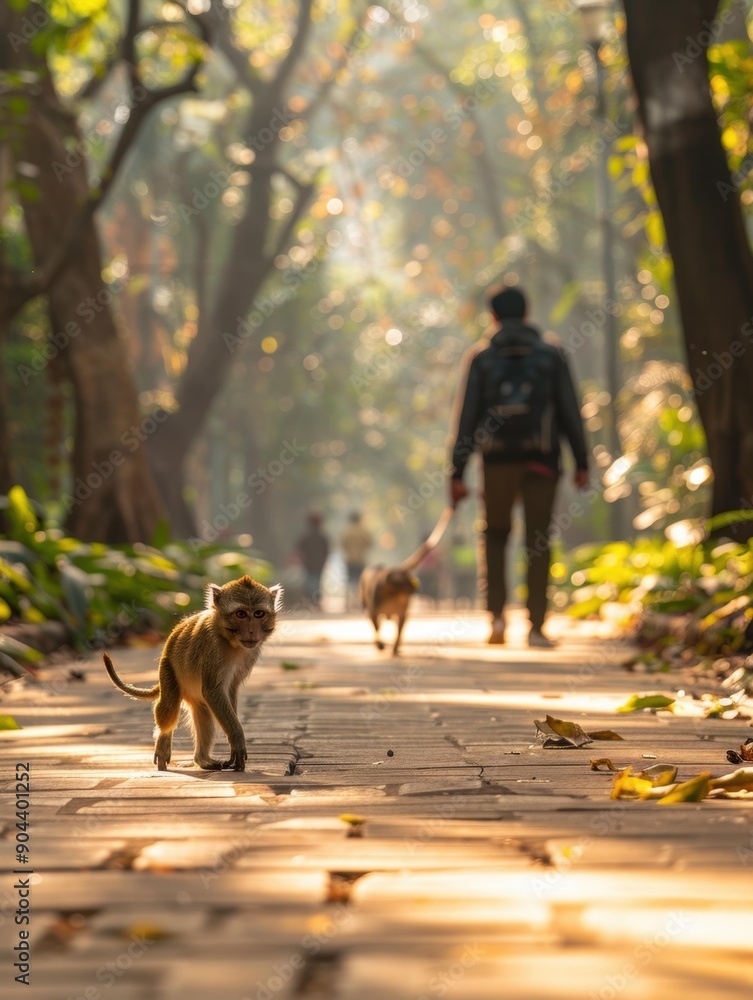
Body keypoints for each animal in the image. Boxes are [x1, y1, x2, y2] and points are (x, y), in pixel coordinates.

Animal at [103, 576, 282, 768]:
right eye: (240, 614)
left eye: (258, 614)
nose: (251, 631)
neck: (228, 640)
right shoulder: (213, 647)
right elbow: (213, 691)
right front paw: (236, 737)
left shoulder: (251, 652)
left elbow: (230, 690)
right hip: (167, 669)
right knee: (169, 707)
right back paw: (163, 744)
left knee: (203, 713)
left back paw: (203, 760)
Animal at [358, 508, 452, 656]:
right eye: (400, 582)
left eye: (408, 580)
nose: (414, 589)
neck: (393, 595)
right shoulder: (374, 609)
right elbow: (376, 626)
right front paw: (380, 645)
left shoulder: (403, 612)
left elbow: (400, 629)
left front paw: (395, 648)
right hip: (366, 603)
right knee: (375, 623)